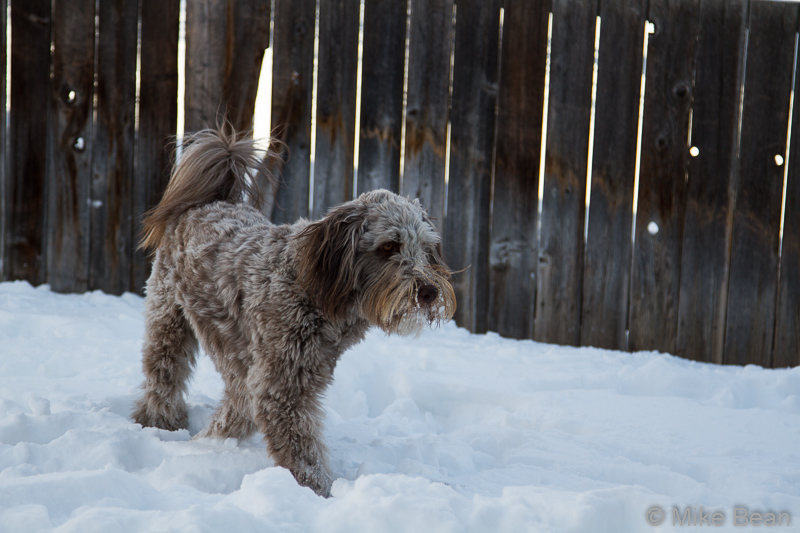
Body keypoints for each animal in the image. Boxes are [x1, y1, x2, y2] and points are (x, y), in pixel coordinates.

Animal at [131, 127, 456, 497]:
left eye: (427, 248)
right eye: (389, 246)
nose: (429, 292)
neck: (316, 289)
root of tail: (210, 201)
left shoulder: (285, 372)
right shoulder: (282, 386)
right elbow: (301, 452)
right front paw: (320, 494)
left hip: (232, 346)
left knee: (235, 402)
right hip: (169, 320)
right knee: (164, 376)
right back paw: (161, 423)